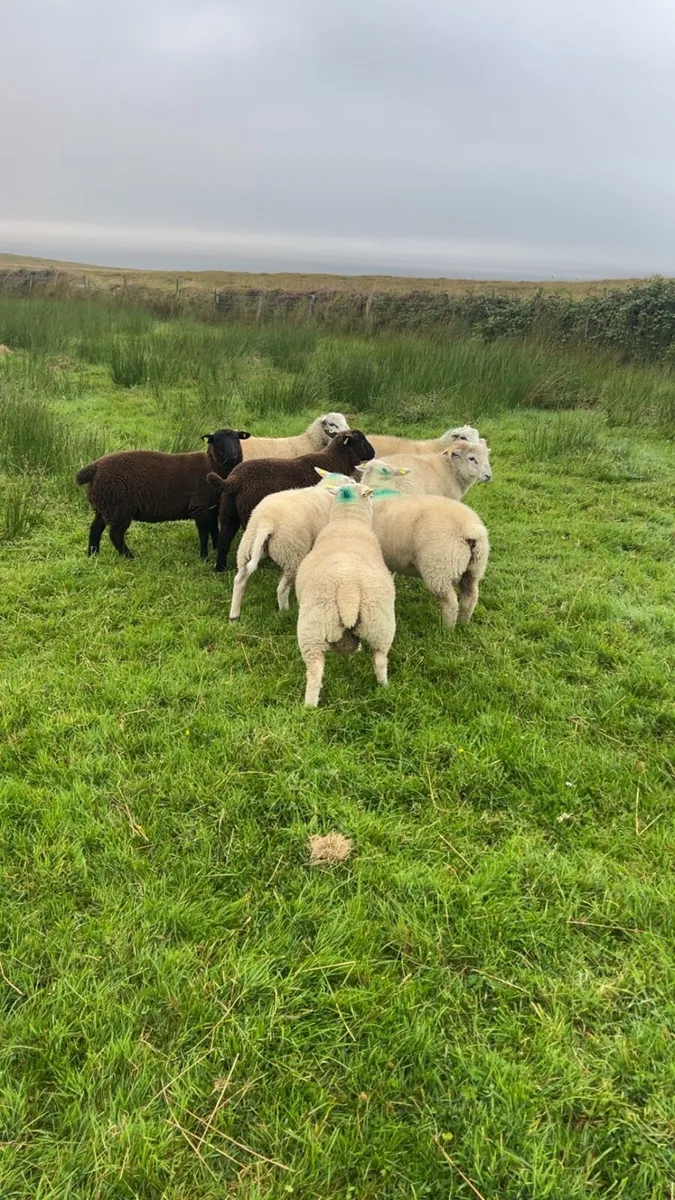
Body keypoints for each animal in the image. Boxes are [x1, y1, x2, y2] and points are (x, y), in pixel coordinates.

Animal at [75, 428, 250, 559]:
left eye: (237, 439)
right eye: (217, 441)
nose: (232, 456)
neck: (211, 465)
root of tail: (95, 467)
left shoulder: (211, 508)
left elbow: (214, 530)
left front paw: (215, 549)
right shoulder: (200, 507)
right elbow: (204, 534)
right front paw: (204, 556)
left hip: (104, 505)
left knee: (95, 528)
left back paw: (93, 554)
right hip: (119, 507)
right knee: (115, 534)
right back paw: (129, 557)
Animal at [207, 429, 376, 571]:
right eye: (361, 440)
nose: (373, 453)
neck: (336, 460)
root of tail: (234, 480)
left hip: (227, 512)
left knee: (224, 538)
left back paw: (220, 568)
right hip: (248, 513)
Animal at [228, 470, 353, 621]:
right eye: (349, 481)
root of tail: (267, 521)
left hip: (247, 546)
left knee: (239, 580)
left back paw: (234, 616)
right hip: (292, 553)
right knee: (282, 589)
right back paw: (285, 611)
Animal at [369, 490, 490, 628]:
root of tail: (470, 531)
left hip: (439, 569)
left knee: (450, 602)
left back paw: (447, 628)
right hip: (474, 569)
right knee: (470, 596)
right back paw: (462, 624)